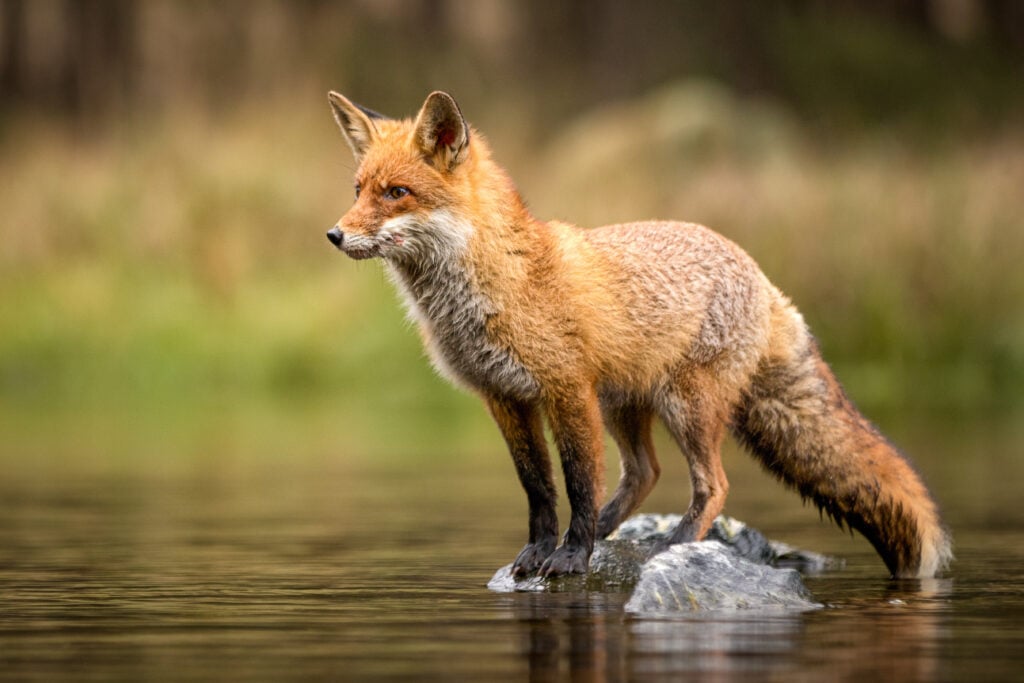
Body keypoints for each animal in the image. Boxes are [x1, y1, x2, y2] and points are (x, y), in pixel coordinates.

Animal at [325, 88, 950, 581]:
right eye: (357, 190)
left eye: (396, 193)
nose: (334, 235)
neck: (499, 285)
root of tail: (763, 277)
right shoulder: (504, 398)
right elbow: (539, 489)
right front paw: (538, 552)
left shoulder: (566, 390)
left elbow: (578, 481)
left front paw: (570, 557)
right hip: (626, 404)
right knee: (645, 472)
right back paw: (613, 530)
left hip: (685, 406)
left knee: (714, 484)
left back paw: (674, 544)